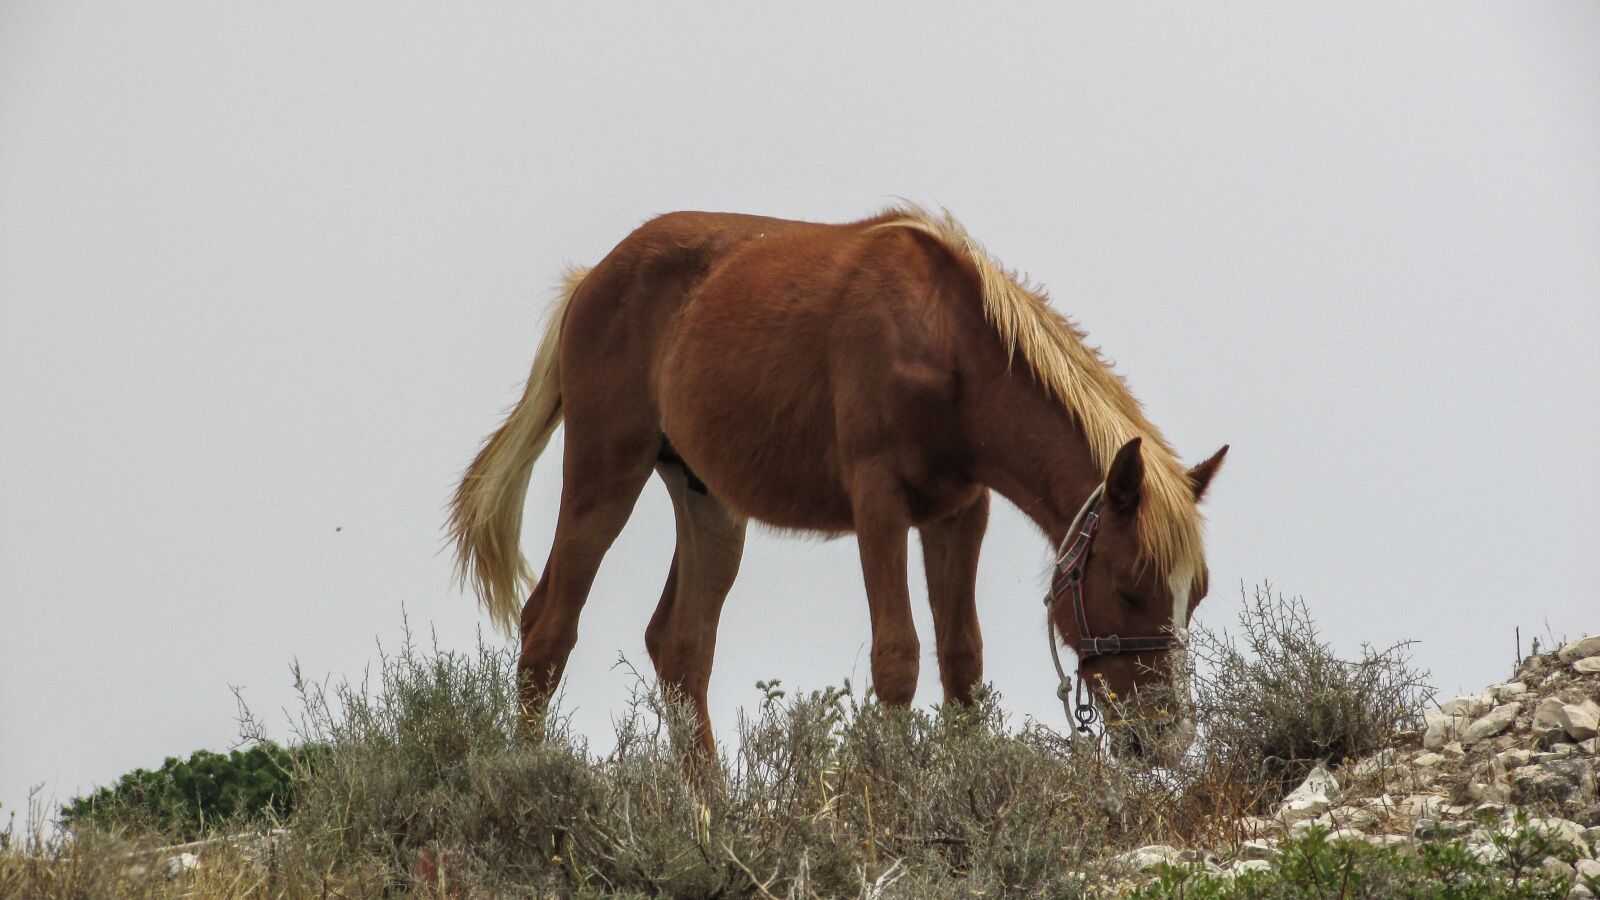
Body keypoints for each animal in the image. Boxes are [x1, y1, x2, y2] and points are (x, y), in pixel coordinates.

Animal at [449, 206, 1227, 763]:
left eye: (1195, 595)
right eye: (1130, 589)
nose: (1168, 737)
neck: (947, 343)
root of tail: (591, 280)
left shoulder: (957, 513)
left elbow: (961, 662)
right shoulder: (879, 502)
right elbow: (898, 659)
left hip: (708, 504)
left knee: (681, 650)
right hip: (605, 471)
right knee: (548, 631)